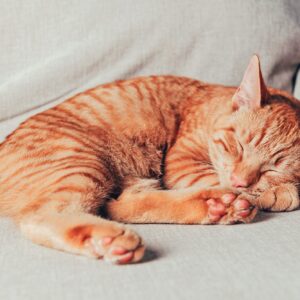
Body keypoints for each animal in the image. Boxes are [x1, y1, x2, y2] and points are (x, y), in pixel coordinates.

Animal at [0, 55, 298, 264]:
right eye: (237, 147)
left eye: (273, 168)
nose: (239, 182)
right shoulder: (181, 162)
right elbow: (215, 177)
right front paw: (276, 192)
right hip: (82, 162)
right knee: (42, 215)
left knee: (119, 205)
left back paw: (217, 206)